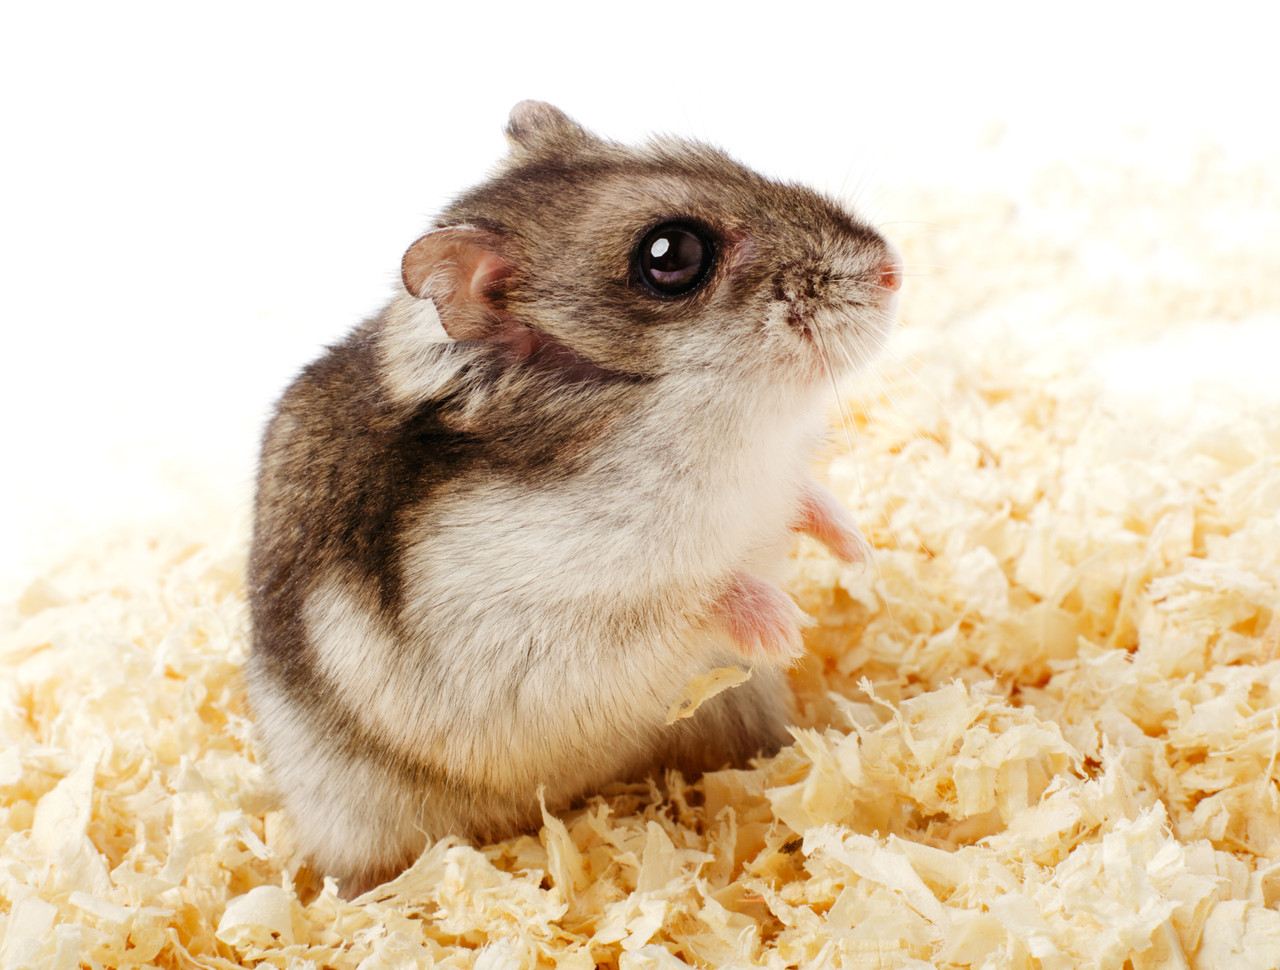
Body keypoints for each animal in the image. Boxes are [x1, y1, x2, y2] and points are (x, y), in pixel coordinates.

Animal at [247, 100, 901, 897]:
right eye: (670, 255)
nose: (894, 270)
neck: (715, 419)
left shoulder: (777, 484)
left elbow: (806, 498)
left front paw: (858, 550)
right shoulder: (529, 634)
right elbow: (694, 598)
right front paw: (788, 627)